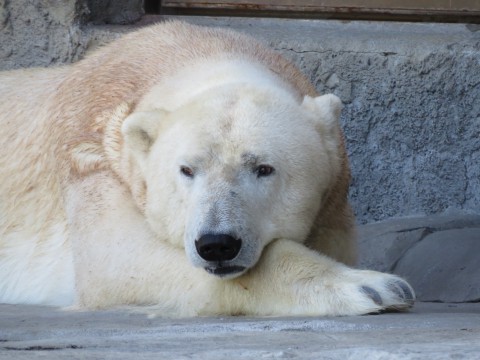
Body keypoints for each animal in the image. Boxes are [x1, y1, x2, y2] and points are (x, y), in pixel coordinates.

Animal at [0, 21, 412, 316]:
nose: (217, 244)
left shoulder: (333, 203)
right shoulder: (92, 156)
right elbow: (117, 258)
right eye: (186, 170)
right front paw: (374, 286)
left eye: (263, 168)